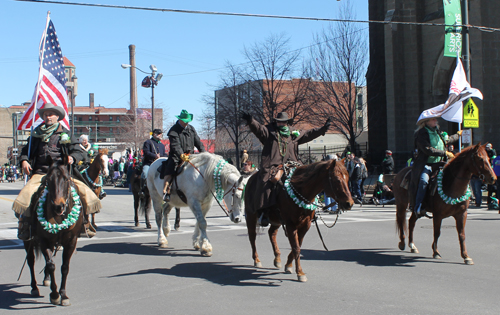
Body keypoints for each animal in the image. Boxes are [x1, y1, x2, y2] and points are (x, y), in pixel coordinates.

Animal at [23, 160, 83, 306]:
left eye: (66, 179)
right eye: (48, 180)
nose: (58, 206)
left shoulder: (71, 242)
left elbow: (64, 267)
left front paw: (64, 295)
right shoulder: (44, 241)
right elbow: (51, 265)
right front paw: (55, 294)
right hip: (28, 241)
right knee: (31, 261)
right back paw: (34, 287)